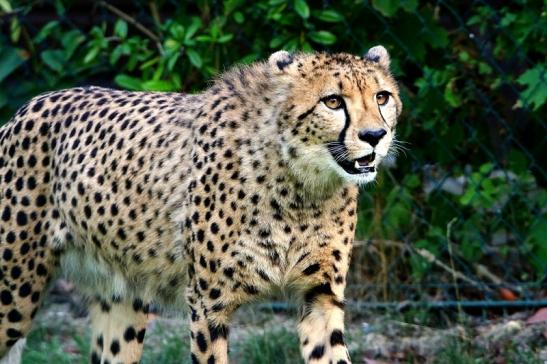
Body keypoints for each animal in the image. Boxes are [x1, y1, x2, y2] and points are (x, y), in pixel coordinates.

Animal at [0, 46, 402, 364]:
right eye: (333, 101)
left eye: (382, 97)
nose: (375, 136)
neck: (301, 186)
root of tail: (26, 107)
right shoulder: (209, 303)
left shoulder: (320, 296)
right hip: (15, 290)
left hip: (121, 295)